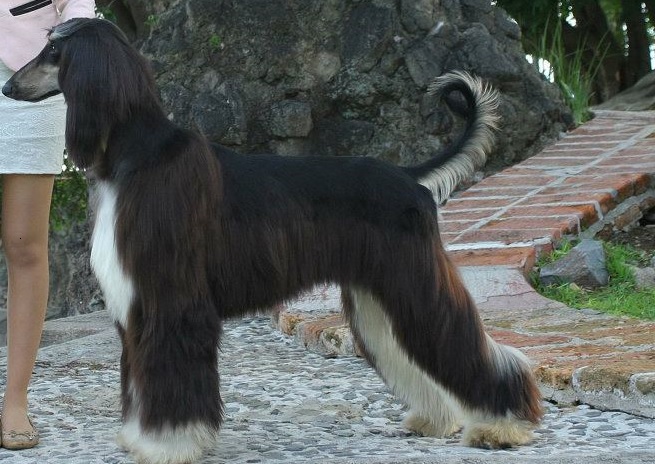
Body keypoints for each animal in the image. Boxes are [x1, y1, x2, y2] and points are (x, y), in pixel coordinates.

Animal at [1, 17, 544, 464]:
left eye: (53, 50)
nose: (8, 85)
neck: (134, 155)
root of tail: (409, 178)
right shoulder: (136, 307)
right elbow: (140, 376)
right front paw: (140, 438)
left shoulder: (171, 299)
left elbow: (170, 374)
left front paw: (167, 444)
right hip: (379, 292)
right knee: (409, 348)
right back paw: (436, 418)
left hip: (409, 277)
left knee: (461, 342)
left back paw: (502, 426)